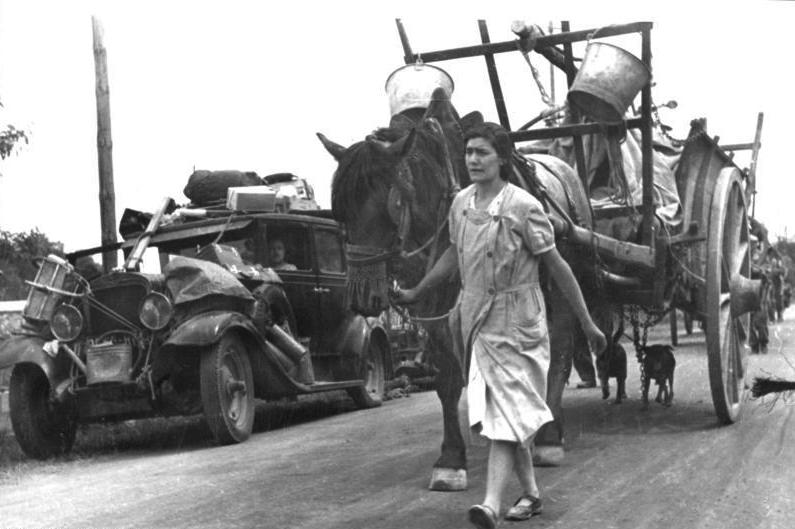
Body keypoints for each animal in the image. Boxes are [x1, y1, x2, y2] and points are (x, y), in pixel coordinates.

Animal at [318, 88, 616, 488]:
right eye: (340, 212)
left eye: (391, 205)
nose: (363, 297)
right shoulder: (433, 311)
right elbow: (447, 379)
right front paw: (450, 457)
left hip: (561, 281)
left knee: (561, 352)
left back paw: (549, 435)